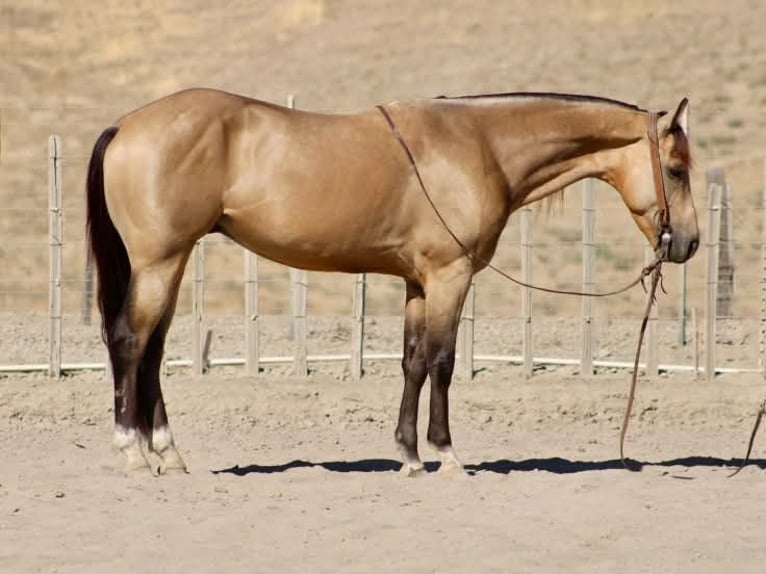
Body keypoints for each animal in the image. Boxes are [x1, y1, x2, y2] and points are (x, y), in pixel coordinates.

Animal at [86, 88, 699, 475]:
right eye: (676, 169)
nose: (688, 243)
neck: (480, 146)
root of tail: (128, 124)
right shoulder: (450, 277)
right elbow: (443, 361)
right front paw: (445, 454)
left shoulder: (418, 283)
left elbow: (412, 362)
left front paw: (408, 455)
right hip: (160, 262)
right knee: (131, 342)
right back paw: (133, 451)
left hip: (171, 263)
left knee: (153, 350)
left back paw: (168, 454)